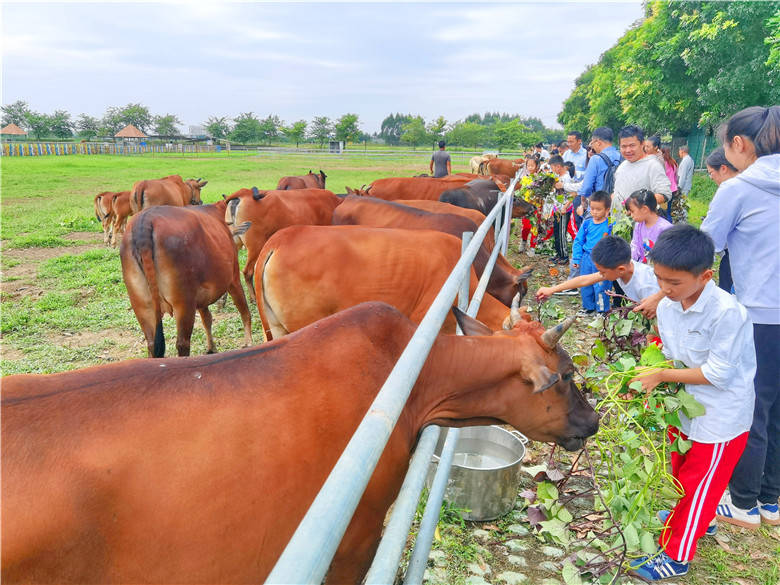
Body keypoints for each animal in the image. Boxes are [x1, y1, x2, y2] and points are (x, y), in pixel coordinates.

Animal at [120, 201, 251, 356]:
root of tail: (144, 221)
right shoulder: (233, 279)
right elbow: (244, 310)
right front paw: (248, 343)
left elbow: (207, 319)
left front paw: (211, 348)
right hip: (183, 303)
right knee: (182, 343)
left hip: (142, 305)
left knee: (152, 344)